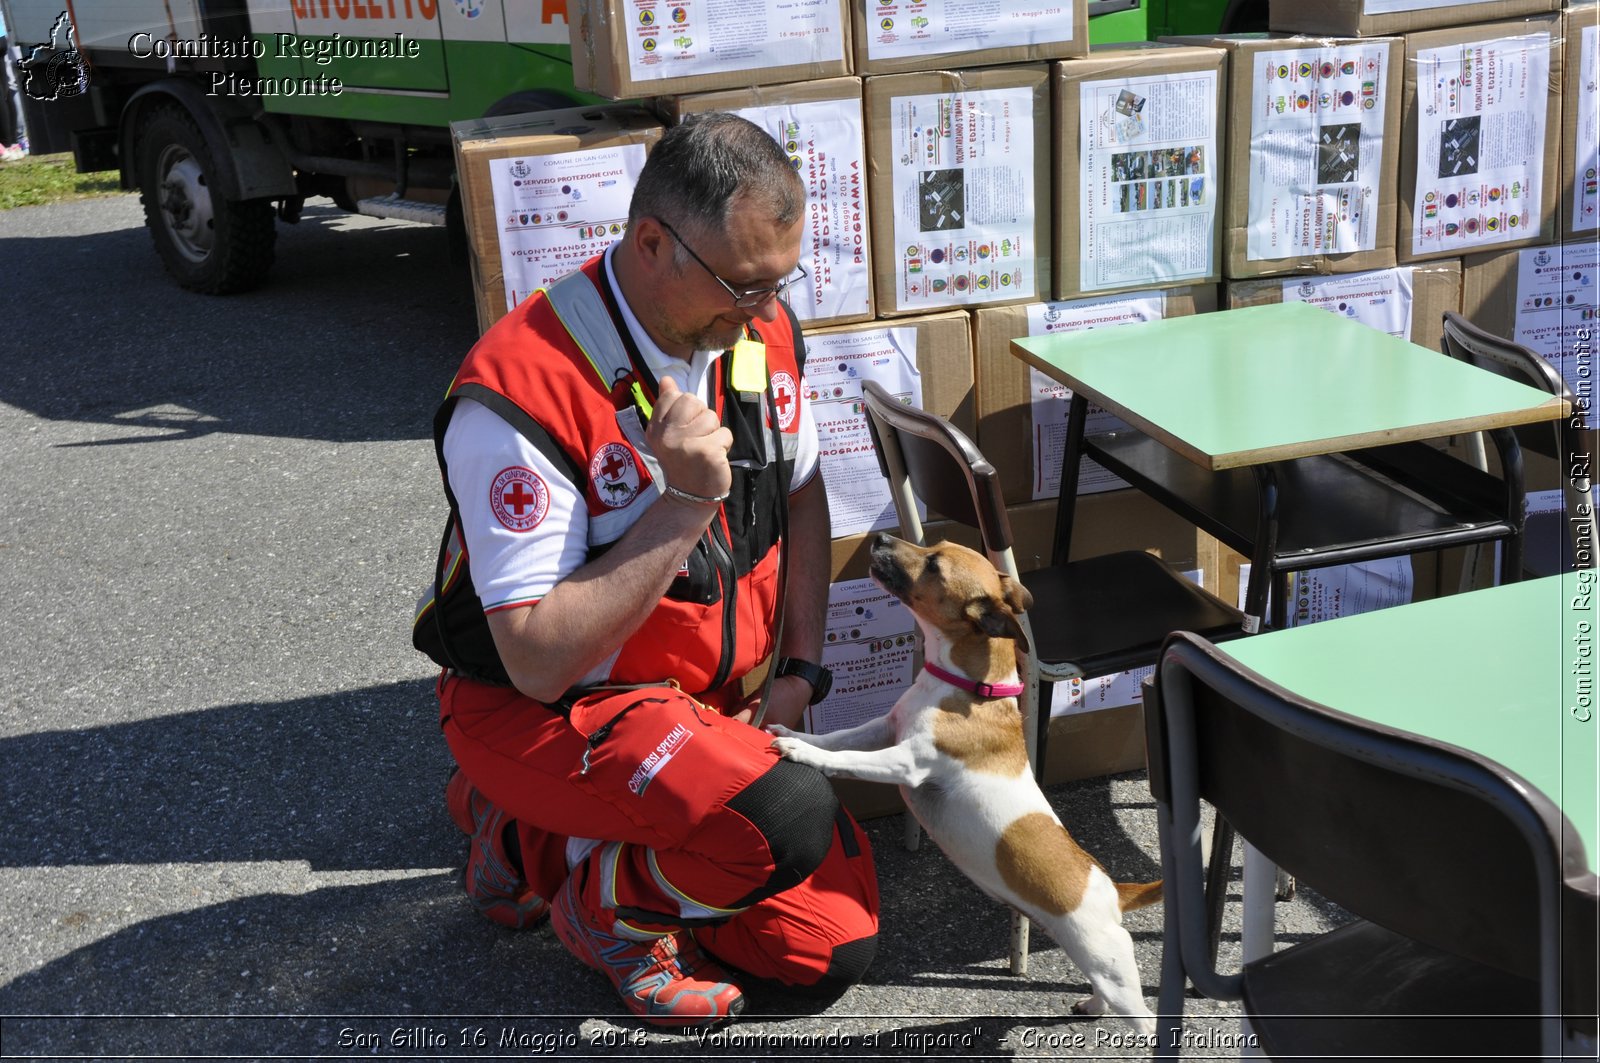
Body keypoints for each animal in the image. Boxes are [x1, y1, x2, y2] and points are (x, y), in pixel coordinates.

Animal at [768, 534, 1158, 1030]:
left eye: (934, 564)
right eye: (933, 545)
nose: (879, 538)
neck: (969, 685)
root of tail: (1114, 892)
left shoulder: (905, 761)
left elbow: (848, 759)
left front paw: (803, 753)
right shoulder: (885, 729)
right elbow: (840, 739)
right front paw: (797, 735)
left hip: (1109, 963)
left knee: (1143, 1016)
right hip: (1089, 958)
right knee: (1101, 991)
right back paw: (1091, 1006)